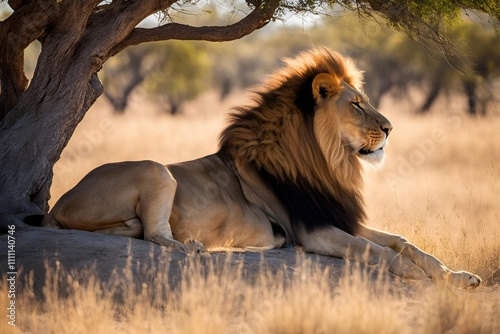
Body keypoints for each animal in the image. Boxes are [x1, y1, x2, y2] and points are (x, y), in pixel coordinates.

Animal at [36, 47, 480, 290]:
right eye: (356, 104)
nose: (390, 128)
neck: (329, 162)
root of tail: (60, 202)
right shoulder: (314, 230)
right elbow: (379, 252)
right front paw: (421, 278)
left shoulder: (336, 217)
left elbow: (404, 242)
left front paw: (458, 277)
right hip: (156, 169)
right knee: (156, 235)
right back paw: (201, 248)